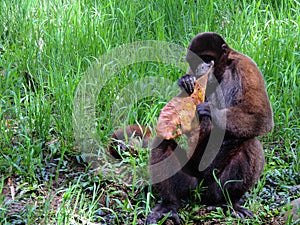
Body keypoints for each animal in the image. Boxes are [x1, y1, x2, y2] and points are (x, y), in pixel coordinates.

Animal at [108, 32, 274, 225]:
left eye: (207, 58)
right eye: (195, 61)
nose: (202, 68)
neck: (221, 70)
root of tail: (201, 190)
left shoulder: (245, 67)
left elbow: (262, 117)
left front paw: (212, 112)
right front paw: (185, 82)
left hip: (215, 186)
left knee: (250, 143)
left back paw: (228, 203)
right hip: (189, 183)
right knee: (162, 141)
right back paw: (170, 204)